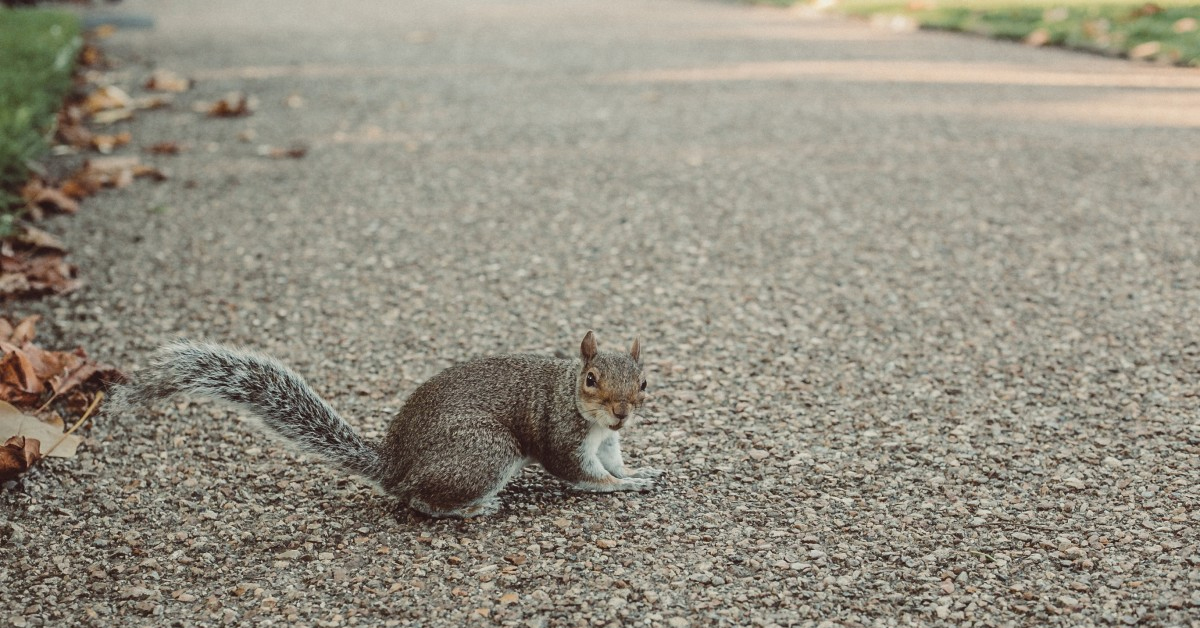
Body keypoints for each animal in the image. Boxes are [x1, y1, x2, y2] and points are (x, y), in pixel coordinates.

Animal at [111, 330, 662, 518]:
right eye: (591, 379)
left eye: (644, 381)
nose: (622, 413)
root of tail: (396, 465)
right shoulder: (563, 437)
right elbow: (581, 474)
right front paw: (622, 486)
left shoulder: (603, 441)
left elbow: (612, 461)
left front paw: (637, 471)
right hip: (485, 451)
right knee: (418, 501)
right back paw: (471, 508)